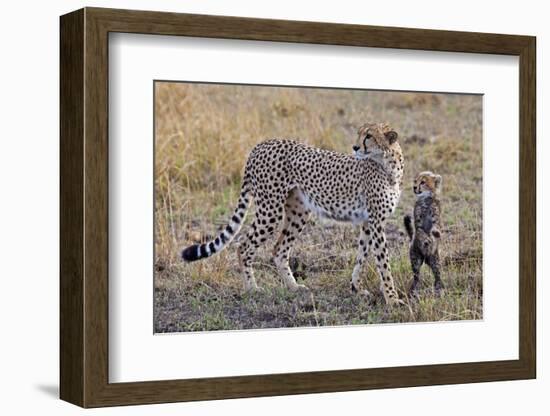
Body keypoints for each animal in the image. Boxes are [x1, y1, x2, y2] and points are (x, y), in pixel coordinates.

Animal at [183, 122, 408, 304]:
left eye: (368, 136)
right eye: (360, 134)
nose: (355, 147)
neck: (389, 165)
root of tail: (261, 144)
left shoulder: (369, 222)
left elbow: (362, 256)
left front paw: (356, 288)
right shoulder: (377, 222)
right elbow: (383, 263)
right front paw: (392, 299)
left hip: (299, 211)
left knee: (279, 249)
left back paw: (293, 287)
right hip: (270, 209)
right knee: (244, 246)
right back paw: (252, 288)